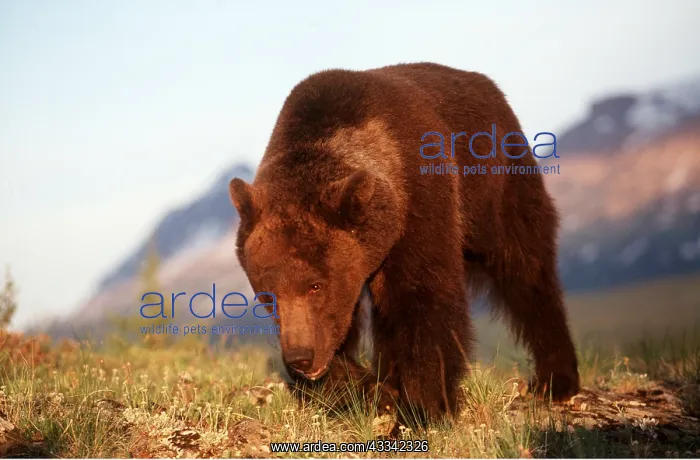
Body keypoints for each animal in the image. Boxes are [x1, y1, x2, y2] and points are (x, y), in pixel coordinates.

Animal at [228, 62, 580, 425]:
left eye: (315, 285)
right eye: (268, 294)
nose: (301, 358)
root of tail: (485, 83)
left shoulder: (419, 202)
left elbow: (423, 296)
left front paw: (425, 405)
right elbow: (348, 336)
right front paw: (373, 390)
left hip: (496, 186)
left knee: (525, 267)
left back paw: (556, 379)